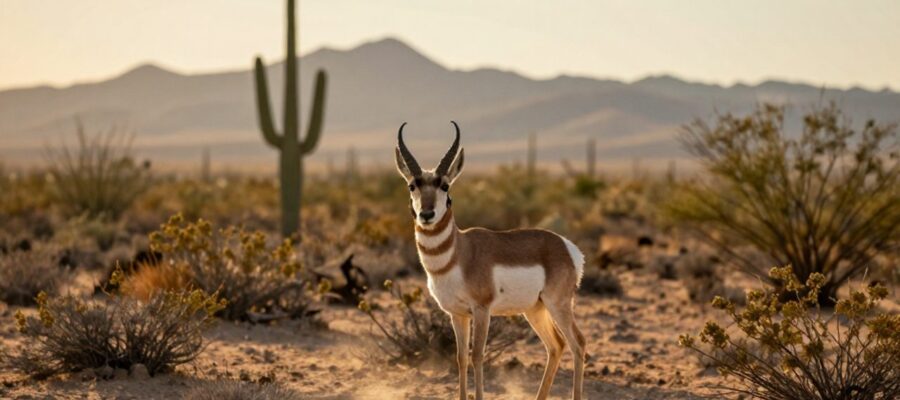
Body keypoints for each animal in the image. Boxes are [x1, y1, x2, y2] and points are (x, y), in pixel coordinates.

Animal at [394, 122, 586, 400]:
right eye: (412, 185)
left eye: (445, 185)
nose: (426, 214)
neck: (458, 254)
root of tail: (567, 247)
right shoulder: (457, 314)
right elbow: (461, 357)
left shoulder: (482, 310)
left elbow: (477, 355)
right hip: (535, 309)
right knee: (556, 346)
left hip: (557, 304)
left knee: (578, 343)